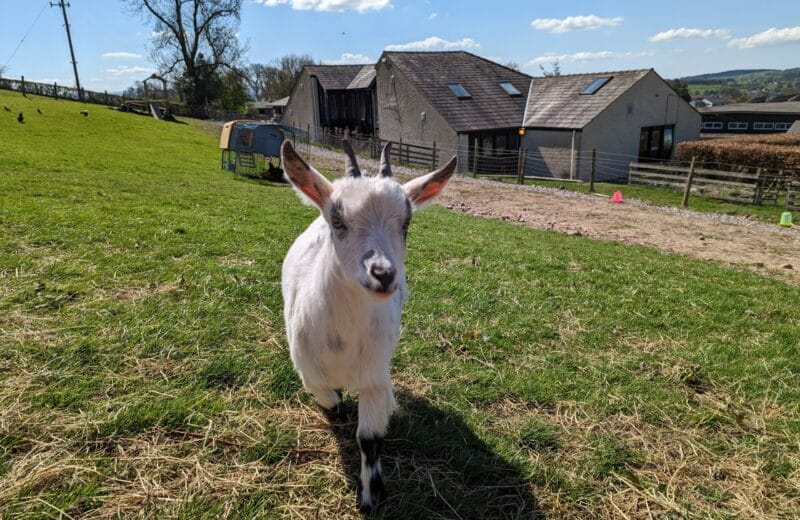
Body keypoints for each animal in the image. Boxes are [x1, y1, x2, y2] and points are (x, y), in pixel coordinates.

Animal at [280, 139, 457, 512]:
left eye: (406, 224)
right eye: (338, 220)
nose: (384, 274)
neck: (341, 344)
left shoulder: (375, 376)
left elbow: (369, 438)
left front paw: (372, 495)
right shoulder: (306, 369)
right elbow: (330, 401)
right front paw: (339, 410)